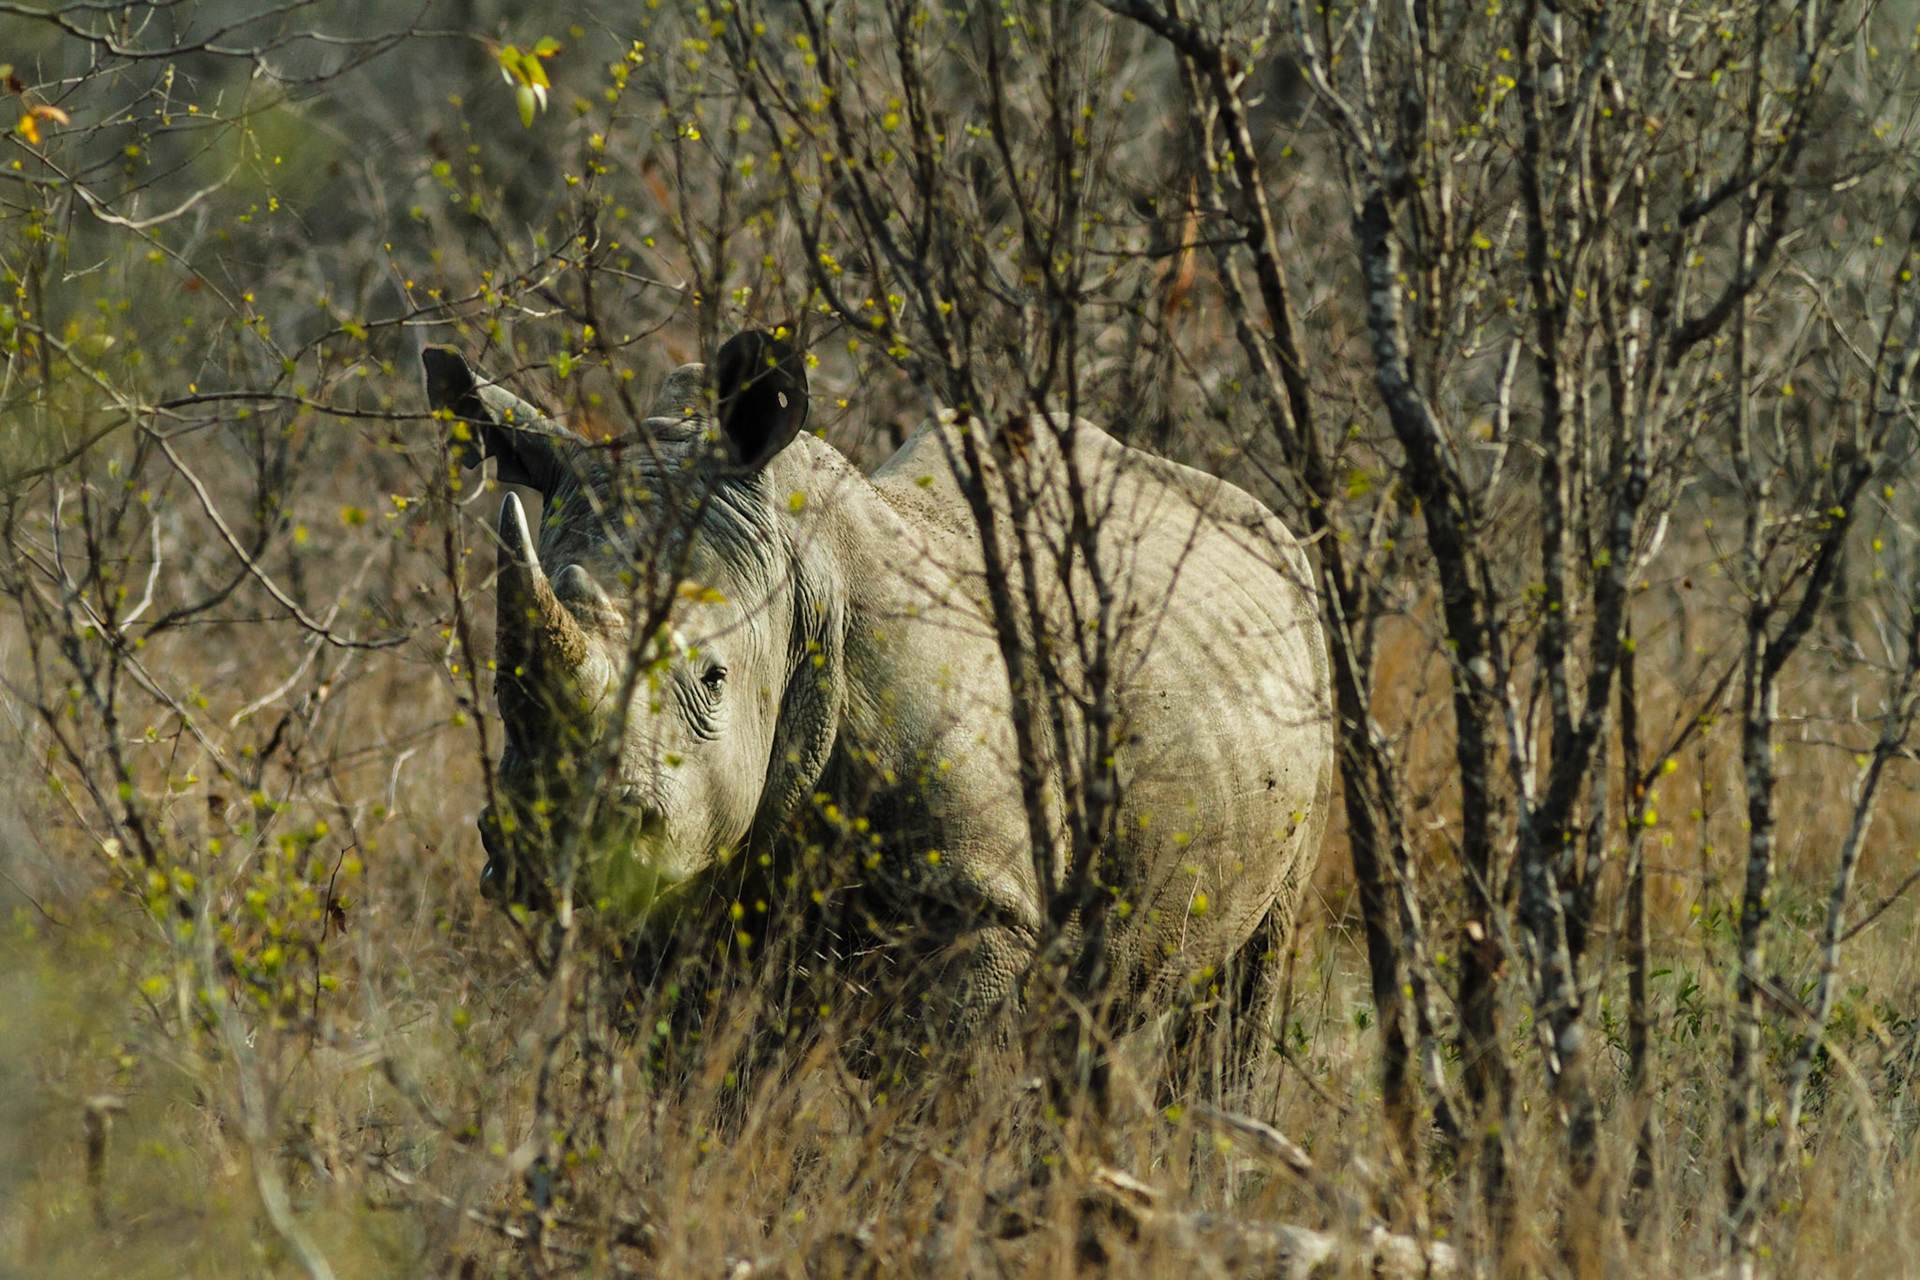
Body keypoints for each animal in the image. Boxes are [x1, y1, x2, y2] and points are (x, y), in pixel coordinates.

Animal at [422, 331, 1330, 1065]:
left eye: (713, 679)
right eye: (500, 685)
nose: (554, 853)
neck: (805, 583)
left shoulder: (976, 905)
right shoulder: (681, 886)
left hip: (1308, 648)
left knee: (1248, 975)